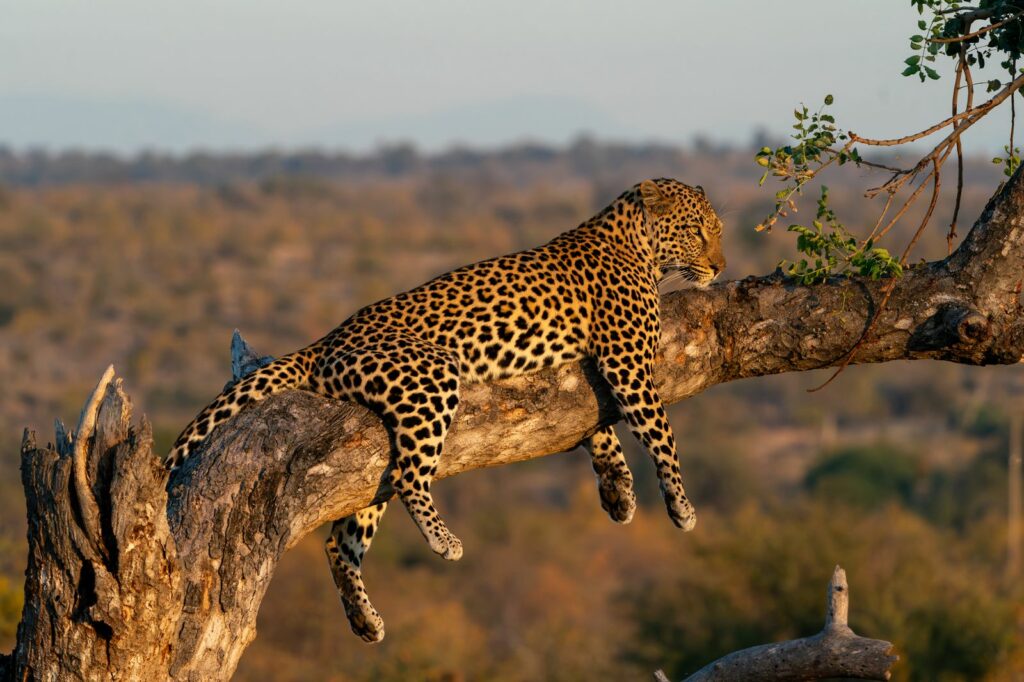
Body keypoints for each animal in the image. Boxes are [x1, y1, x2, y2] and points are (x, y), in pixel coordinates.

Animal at [166, 177, 726, 642]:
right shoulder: (627, 364)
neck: (636, 242)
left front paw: (617, 493)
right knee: (411, 477)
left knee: (342, 538)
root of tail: (326, 340)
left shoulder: (583, 371)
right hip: (429, 376)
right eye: (698, 231)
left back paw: (365, 620)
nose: (720, 267)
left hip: (372, 460)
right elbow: (661, 435)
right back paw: (444, 542)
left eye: (718, 230)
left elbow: (598, 433)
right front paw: (681, 506)